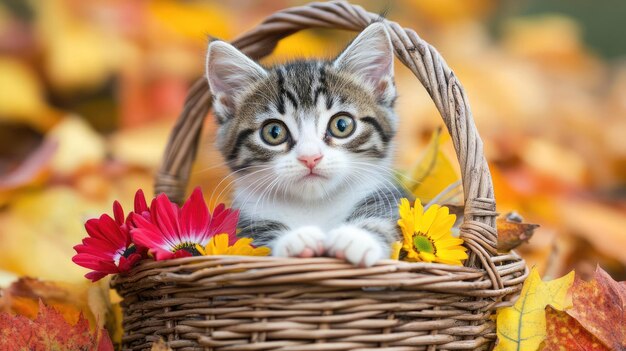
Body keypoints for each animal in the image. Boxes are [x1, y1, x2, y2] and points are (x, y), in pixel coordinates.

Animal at [205, 24, 408, 266]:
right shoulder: (245, 225)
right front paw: (296, 239)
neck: (313, 205)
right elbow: (259, 241)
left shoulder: (390, 202)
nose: (310, 157)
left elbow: (384, 222)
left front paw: (356, 238)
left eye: (341, 125)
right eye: (274, 132)